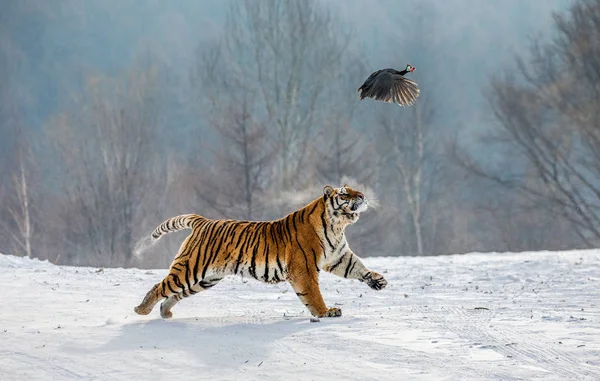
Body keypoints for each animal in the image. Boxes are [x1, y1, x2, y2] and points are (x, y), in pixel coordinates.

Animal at [133, 183, 386, 318]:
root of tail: (203, 221)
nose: (362, 196)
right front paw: (325, 312)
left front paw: (378, 281)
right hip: (190, 269)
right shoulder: (303, 269)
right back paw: (141, 309)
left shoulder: (338, 257)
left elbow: (358, 267)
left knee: (174, 294)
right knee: (160, 287)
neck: (337, 226)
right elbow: (313, 295)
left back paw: (165, 312)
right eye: (344, 193)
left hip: (205, 279)